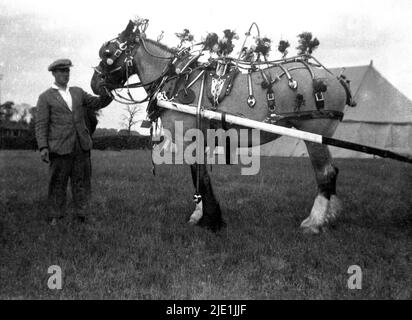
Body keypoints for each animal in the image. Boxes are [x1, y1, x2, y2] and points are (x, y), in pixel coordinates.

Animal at [91, 20, 354, 235]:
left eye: (107, 53)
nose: (94, 84)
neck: (177, 81)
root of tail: (336, 80)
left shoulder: (188, 137)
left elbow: (200, 175)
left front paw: (211, 220)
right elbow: (199, 175)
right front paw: (200, 215)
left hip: (315, 135)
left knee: (325, 173)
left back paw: (315, 221)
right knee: (332, 172)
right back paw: (330, 215)